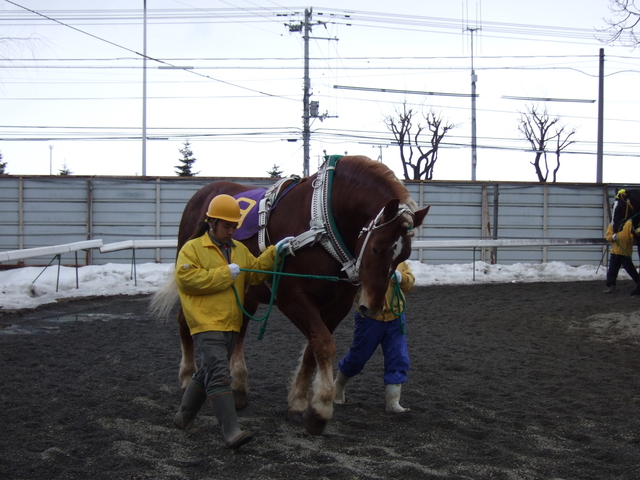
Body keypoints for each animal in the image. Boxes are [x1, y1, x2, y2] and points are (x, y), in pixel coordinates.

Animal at [151, 155, 429, 435]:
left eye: (403, 256)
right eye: (376, 248)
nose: (371, 307)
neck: (323, 222)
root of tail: (205, 193)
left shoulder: (337, 306)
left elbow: (313, 350)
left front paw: (298, 403)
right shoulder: (292, 297)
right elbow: (324, 345)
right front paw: (320, 408)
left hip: (245, 292)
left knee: (239, 329)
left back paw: (238, 386)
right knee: (185, 321)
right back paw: (188, 376)